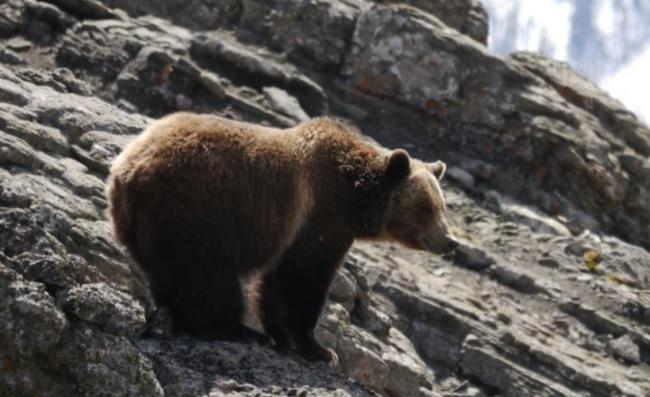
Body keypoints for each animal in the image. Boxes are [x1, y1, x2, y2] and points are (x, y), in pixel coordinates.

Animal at [106, 112, 456, 362]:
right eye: (426, 207)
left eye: (442, 206)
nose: (451, 242)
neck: (355, 197)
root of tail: (128, 170)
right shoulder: (320, 215)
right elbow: (305, 279)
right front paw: (320, 349)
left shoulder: (294, 232)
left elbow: (275, 283)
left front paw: (283, 338)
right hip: (196, 212)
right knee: (207, 275)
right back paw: (235, 330)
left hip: (146, 226)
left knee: (170, 274)